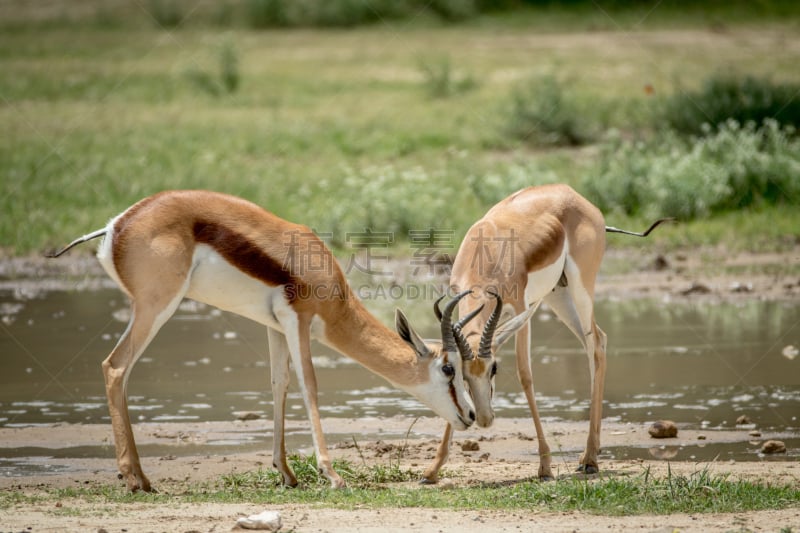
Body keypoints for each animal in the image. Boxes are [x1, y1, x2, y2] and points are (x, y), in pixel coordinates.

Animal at [48, 189, 476, 492]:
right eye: (448, 368)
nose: (471, 416)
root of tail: (117, 224)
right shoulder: (298, 321)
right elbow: (310, 386)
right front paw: (333, 476)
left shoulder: (275, 326)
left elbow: (278, 384)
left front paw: (286, 473)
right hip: (156, 307)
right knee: (115, 366)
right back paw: (135, 479)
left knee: (118, 370)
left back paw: (142, 477)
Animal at [422, 183, 672, 482]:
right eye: (461, 375)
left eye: (494, 369)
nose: (483, 419)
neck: (487, 249)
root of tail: (574, 195)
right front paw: (432, 469)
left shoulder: (522, 308)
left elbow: (525, 375)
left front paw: (545, 467)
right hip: (558, 294)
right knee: (598, 339)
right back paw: (590, 454)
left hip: (580, 287)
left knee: (595, 345)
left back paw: (590, 459)